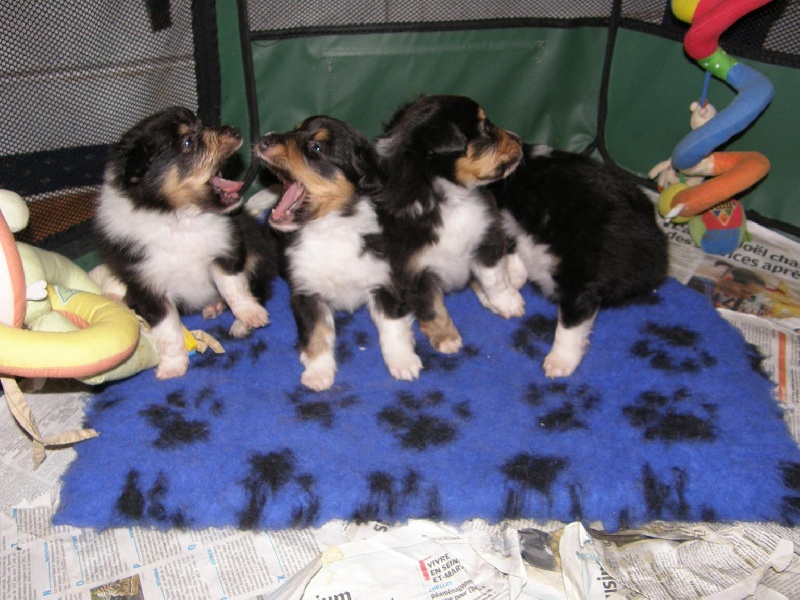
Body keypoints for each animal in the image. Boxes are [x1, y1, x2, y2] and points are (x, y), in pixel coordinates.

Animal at [94, 106, 278, 380]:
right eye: (188, 142)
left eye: (200, 123)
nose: (234, 130)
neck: (179, 217)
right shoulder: (146, 285)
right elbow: (167, 329)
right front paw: (172, 367)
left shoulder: (225, 249)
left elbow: (233, 286)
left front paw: (251, 315)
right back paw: (214, 307)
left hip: (254, 248)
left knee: (260, 286)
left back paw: (240, 322)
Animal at [376, 95, 528, 354]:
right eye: (484, 129)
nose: (519, 139)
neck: (451, 198)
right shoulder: (412, 270)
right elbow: (432, 306)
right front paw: (446, 337)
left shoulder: (487, 236)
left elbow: (494, 277)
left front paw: (508, 302)